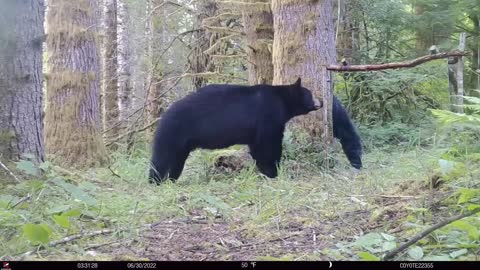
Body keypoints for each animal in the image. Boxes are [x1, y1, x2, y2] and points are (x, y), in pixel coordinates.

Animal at [149, 78, 322, 184]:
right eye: (310, 94)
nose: (321, 102)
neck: (282, 101)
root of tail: (162, 116)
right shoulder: (268, 116)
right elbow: (268, 144)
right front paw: (273, 171)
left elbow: (257, 147)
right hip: (172, 133)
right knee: (161, 158)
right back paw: (155, 181)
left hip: (182, 146)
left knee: (176, 162)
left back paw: (171, 180)